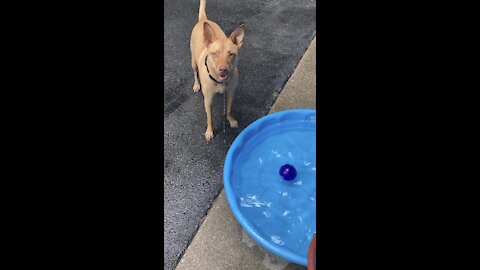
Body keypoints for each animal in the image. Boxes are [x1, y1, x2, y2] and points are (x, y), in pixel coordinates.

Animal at [190, 0, 246, 140]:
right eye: (214, 54)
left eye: (231, 54)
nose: (223, 69)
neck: (220, 82)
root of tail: (204, 20)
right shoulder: (208, 100)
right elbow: (209, 118)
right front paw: (209, 131)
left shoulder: (231, 92)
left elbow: (229, 109)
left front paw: (231, 120)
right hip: (193, 61)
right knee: (195, 72)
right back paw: (196, 85)